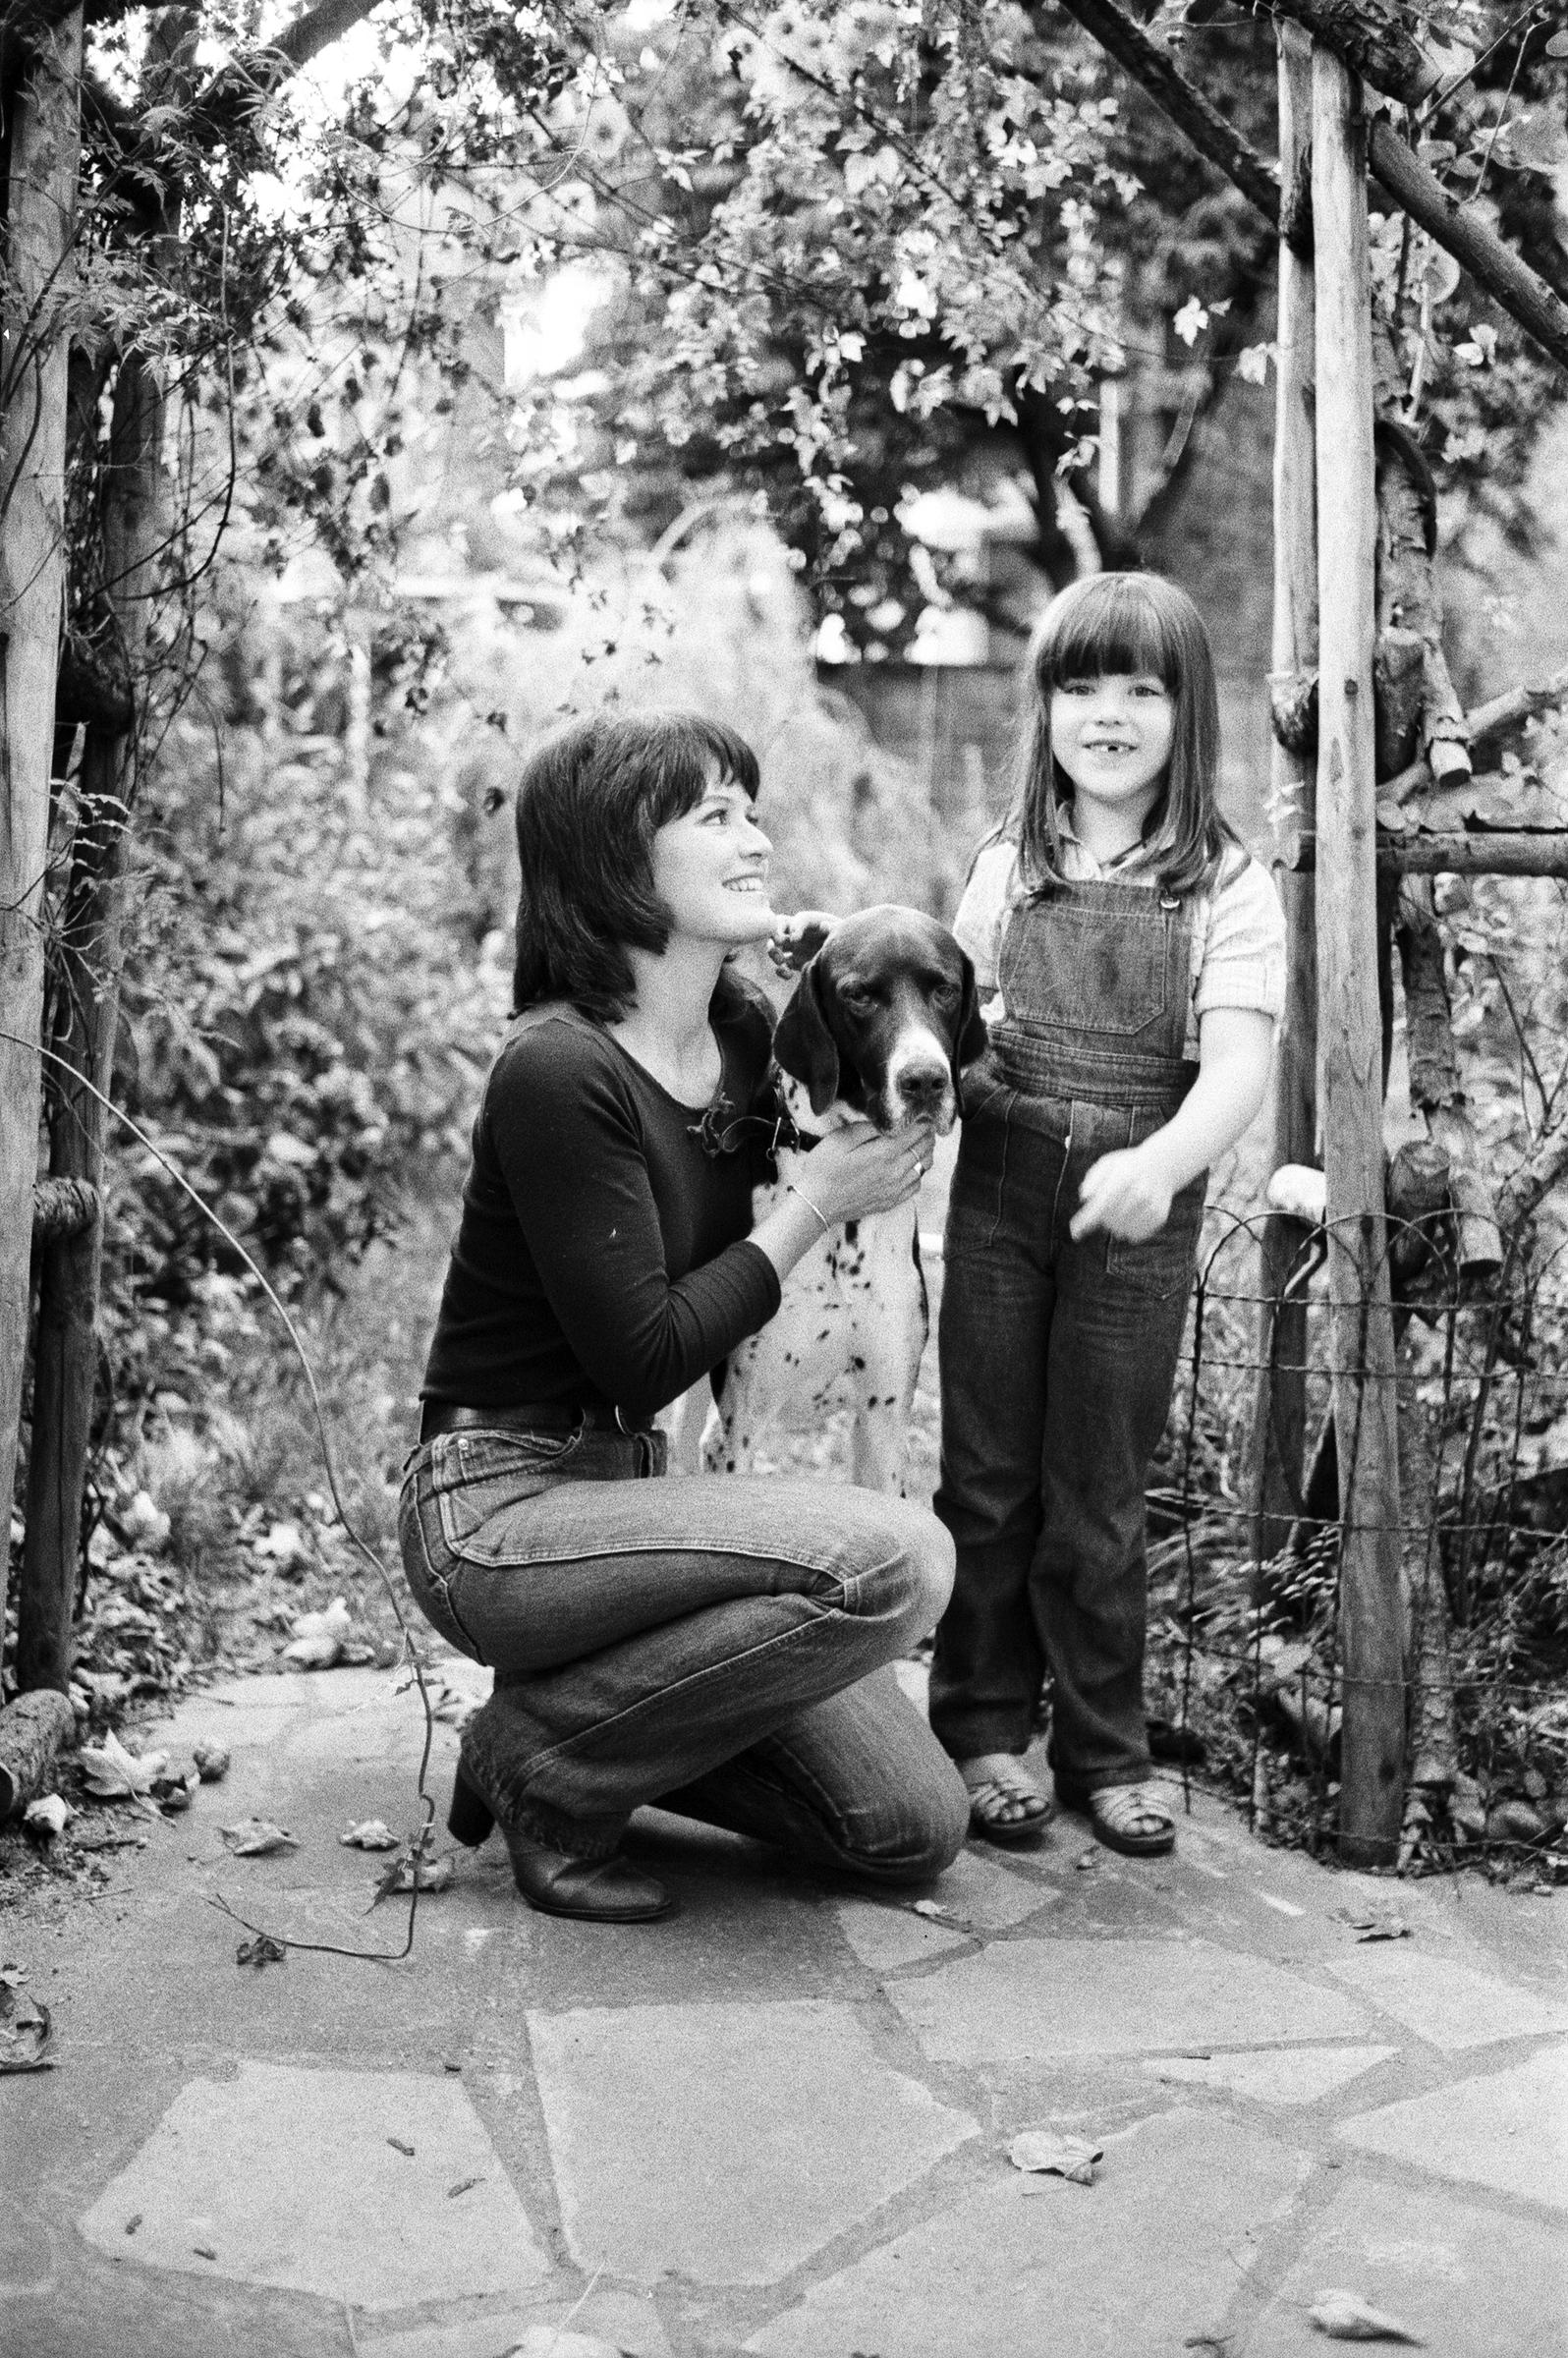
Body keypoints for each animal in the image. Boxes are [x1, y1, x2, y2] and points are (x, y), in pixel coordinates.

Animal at [684, 900, 980, 1489]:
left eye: (945, 989)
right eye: (859, 995)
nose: (925, 1080)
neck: (844, 1236)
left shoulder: (884, 1422)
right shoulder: (734, 1431)